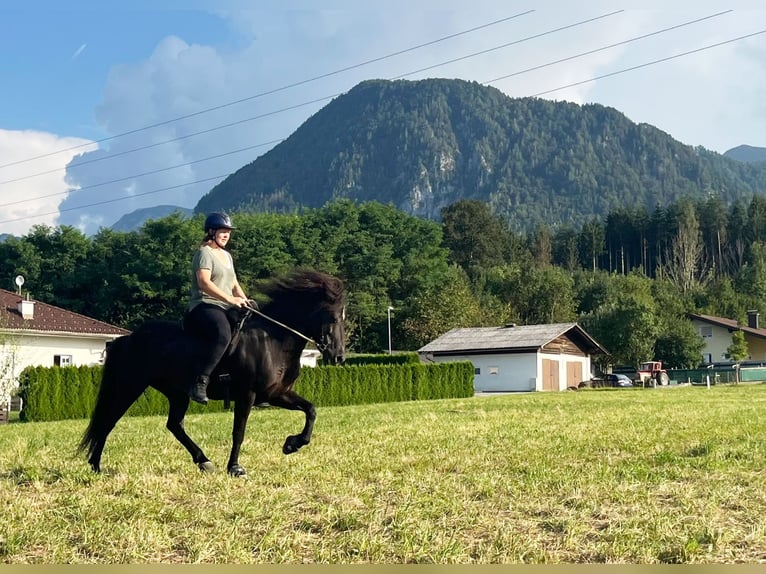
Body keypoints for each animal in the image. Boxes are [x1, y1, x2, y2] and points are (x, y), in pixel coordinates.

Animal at [79, 269, 346, 477]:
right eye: (332, 317)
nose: (339, 356)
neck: (272, 340)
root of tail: (128, 338)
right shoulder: (247, 395)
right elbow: (239, 432)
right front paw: (235, 468)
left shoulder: (275, 394)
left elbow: (311, 410)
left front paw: (292, 444)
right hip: (131, 386)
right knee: (109, 421)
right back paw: (96, 466)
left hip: (177, 393)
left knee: (174, 425)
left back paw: (204, 461)